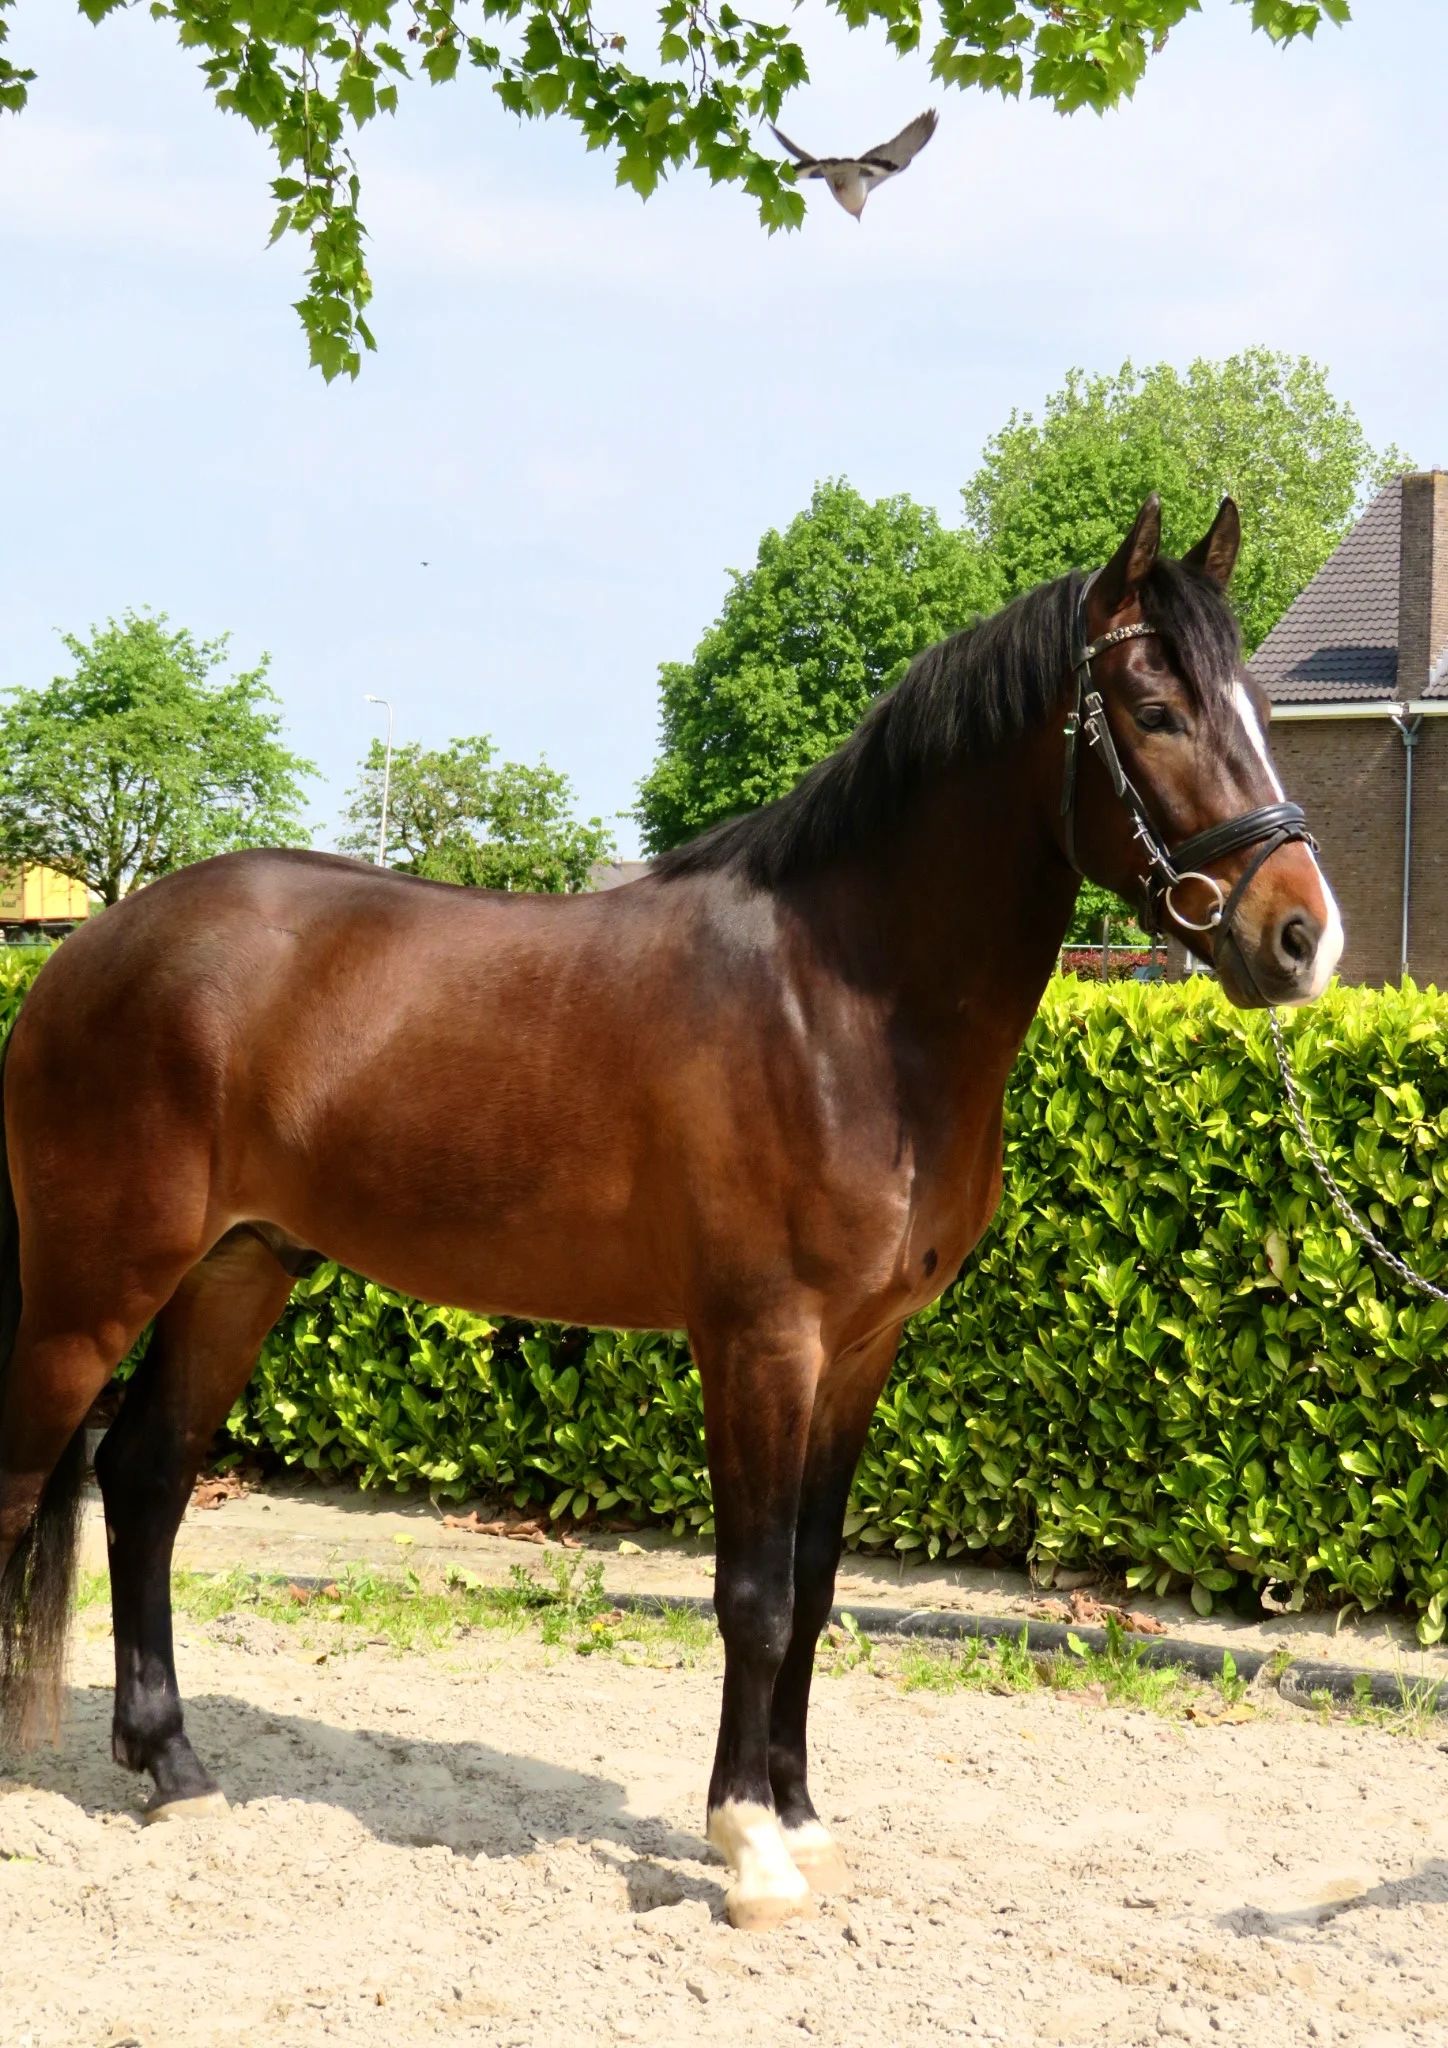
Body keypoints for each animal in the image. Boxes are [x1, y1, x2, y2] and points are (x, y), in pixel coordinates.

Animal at [0, 494, 1341, 1929]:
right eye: (1152, 710)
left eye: (1263, 705)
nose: (1303, 939)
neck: (842, 1003)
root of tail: (86, 950)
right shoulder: (759, 1340)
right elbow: (752, 1591)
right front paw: (749, 1849)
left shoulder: (859, 1351)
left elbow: (814, 1581)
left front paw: (800, 1819)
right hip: (90, 1289)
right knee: (26, 1485)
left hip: (238, 1269)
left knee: (145, 1481)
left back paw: (176, 1772)